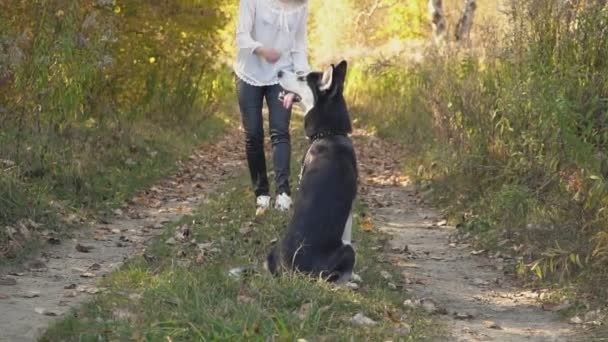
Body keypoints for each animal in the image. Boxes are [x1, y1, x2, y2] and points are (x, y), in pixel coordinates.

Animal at [264, 61, 356, 284]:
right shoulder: (350, 212)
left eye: (301, 78)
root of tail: (292, 273)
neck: (330, 134)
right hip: (348, 251)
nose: (278, 71)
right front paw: (354, 276)